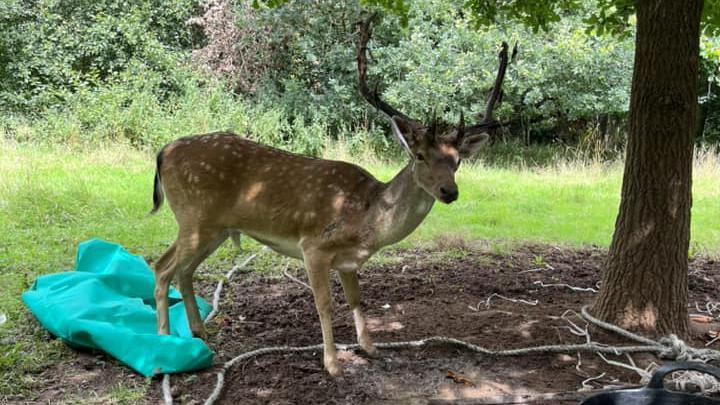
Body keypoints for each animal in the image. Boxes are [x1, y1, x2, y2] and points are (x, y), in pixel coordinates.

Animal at [150, 15, 512, 376]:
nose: (449, 191)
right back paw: (165, 343)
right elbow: (324, 305)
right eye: (420, 156)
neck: (367, 223)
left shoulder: (348, 262)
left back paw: (199, 332)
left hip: (216, 229)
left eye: (457, 160)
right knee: (161, 267)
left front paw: (370, 348)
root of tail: (163, 151)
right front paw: (333, 364)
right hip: (195, 218)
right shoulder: (313, 246)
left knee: (184, 270)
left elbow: (356, 299)